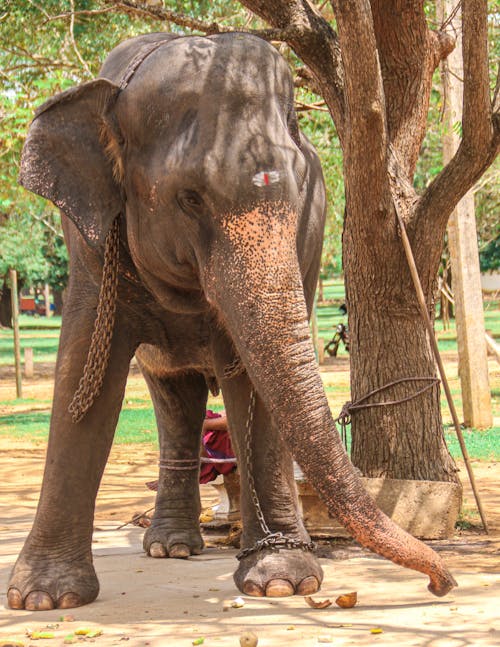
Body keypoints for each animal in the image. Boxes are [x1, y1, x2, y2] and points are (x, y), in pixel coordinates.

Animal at [6, 31, 458, 612]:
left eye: (300, 191)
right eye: (189, 197)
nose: (441, 582)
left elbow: (250, 379)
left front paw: (285, 582)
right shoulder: (87, 243)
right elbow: (84, 371)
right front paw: (43, 599)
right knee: (173, 397)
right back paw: (171, 547)